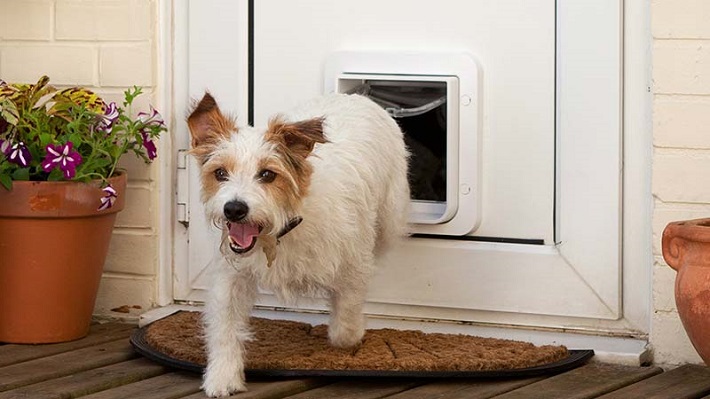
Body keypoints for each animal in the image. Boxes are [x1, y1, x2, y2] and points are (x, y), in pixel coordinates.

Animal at [188, 93, 412, 396]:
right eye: (220, 172)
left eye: (268, 175)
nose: (234, 209)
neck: (279, 231)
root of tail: (354, 95)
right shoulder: (231, 278)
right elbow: (225, 327)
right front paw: (222, 376)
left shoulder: (354, 266)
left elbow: (346, 320)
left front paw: (351, 335)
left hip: (390, 218)